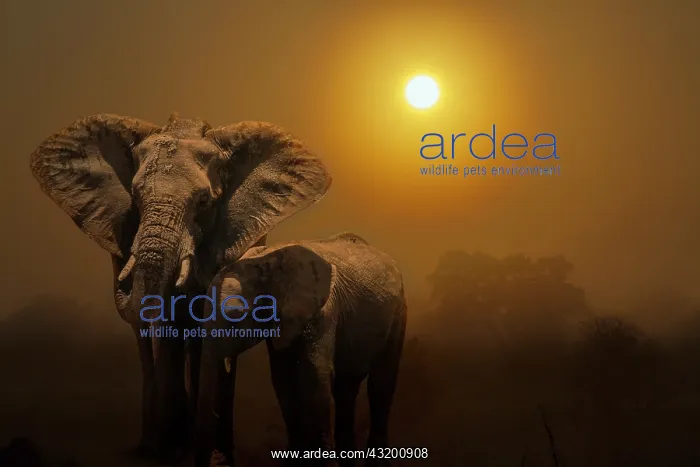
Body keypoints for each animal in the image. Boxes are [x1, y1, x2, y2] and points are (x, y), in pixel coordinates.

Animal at [29, 113, 332, 461]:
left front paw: (207, 453)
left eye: (203, 202)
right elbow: (167, 321)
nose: (120, 270)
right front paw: (166, 448)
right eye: (135, 198)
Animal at [194, 232, 408, 467]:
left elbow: (313, 378)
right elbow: (283, 381)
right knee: (346, 388)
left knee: (381, 385)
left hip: (398, 311)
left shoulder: (322, 313)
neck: (266, 261)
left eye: (235, 316)